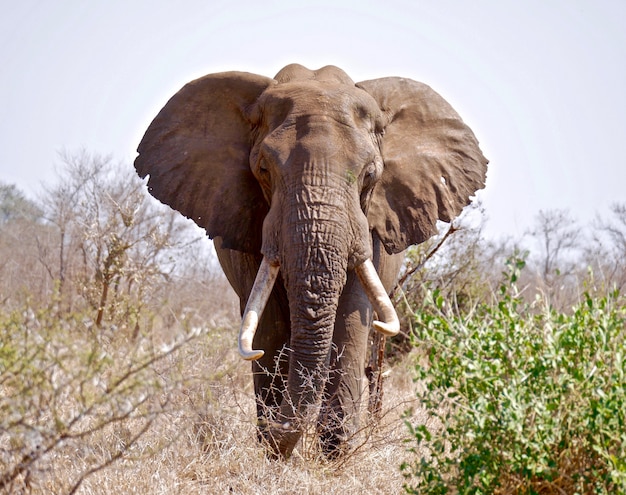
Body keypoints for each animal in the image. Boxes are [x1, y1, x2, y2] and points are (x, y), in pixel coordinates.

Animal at [134, 63, 488, 462]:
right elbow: (268, 324)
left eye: (370, 175)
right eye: (263, 170)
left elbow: (350, 321)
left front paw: (333, 457)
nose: (276, 437)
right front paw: (276, 456)